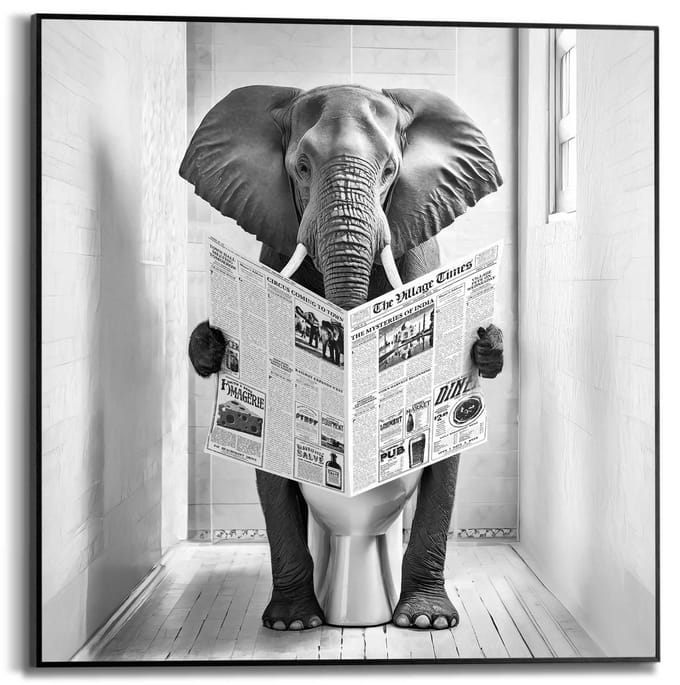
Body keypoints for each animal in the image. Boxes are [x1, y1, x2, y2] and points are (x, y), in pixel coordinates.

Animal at [182, 84, 504, 631]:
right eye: (301, 167)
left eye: (391, 170)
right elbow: (272, 473)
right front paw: (292, 624)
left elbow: (445, 463)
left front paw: (427, 622)